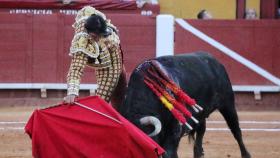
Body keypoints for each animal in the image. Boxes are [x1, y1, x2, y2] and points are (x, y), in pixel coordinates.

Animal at [117, 52, 252, 158]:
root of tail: (216, 61)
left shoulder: (174, 131)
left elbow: (169, 152)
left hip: (228, 104)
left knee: (236, 130)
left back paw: (246, 154)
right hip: (201, 112)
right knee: (201, 130)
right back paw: (198, 154)